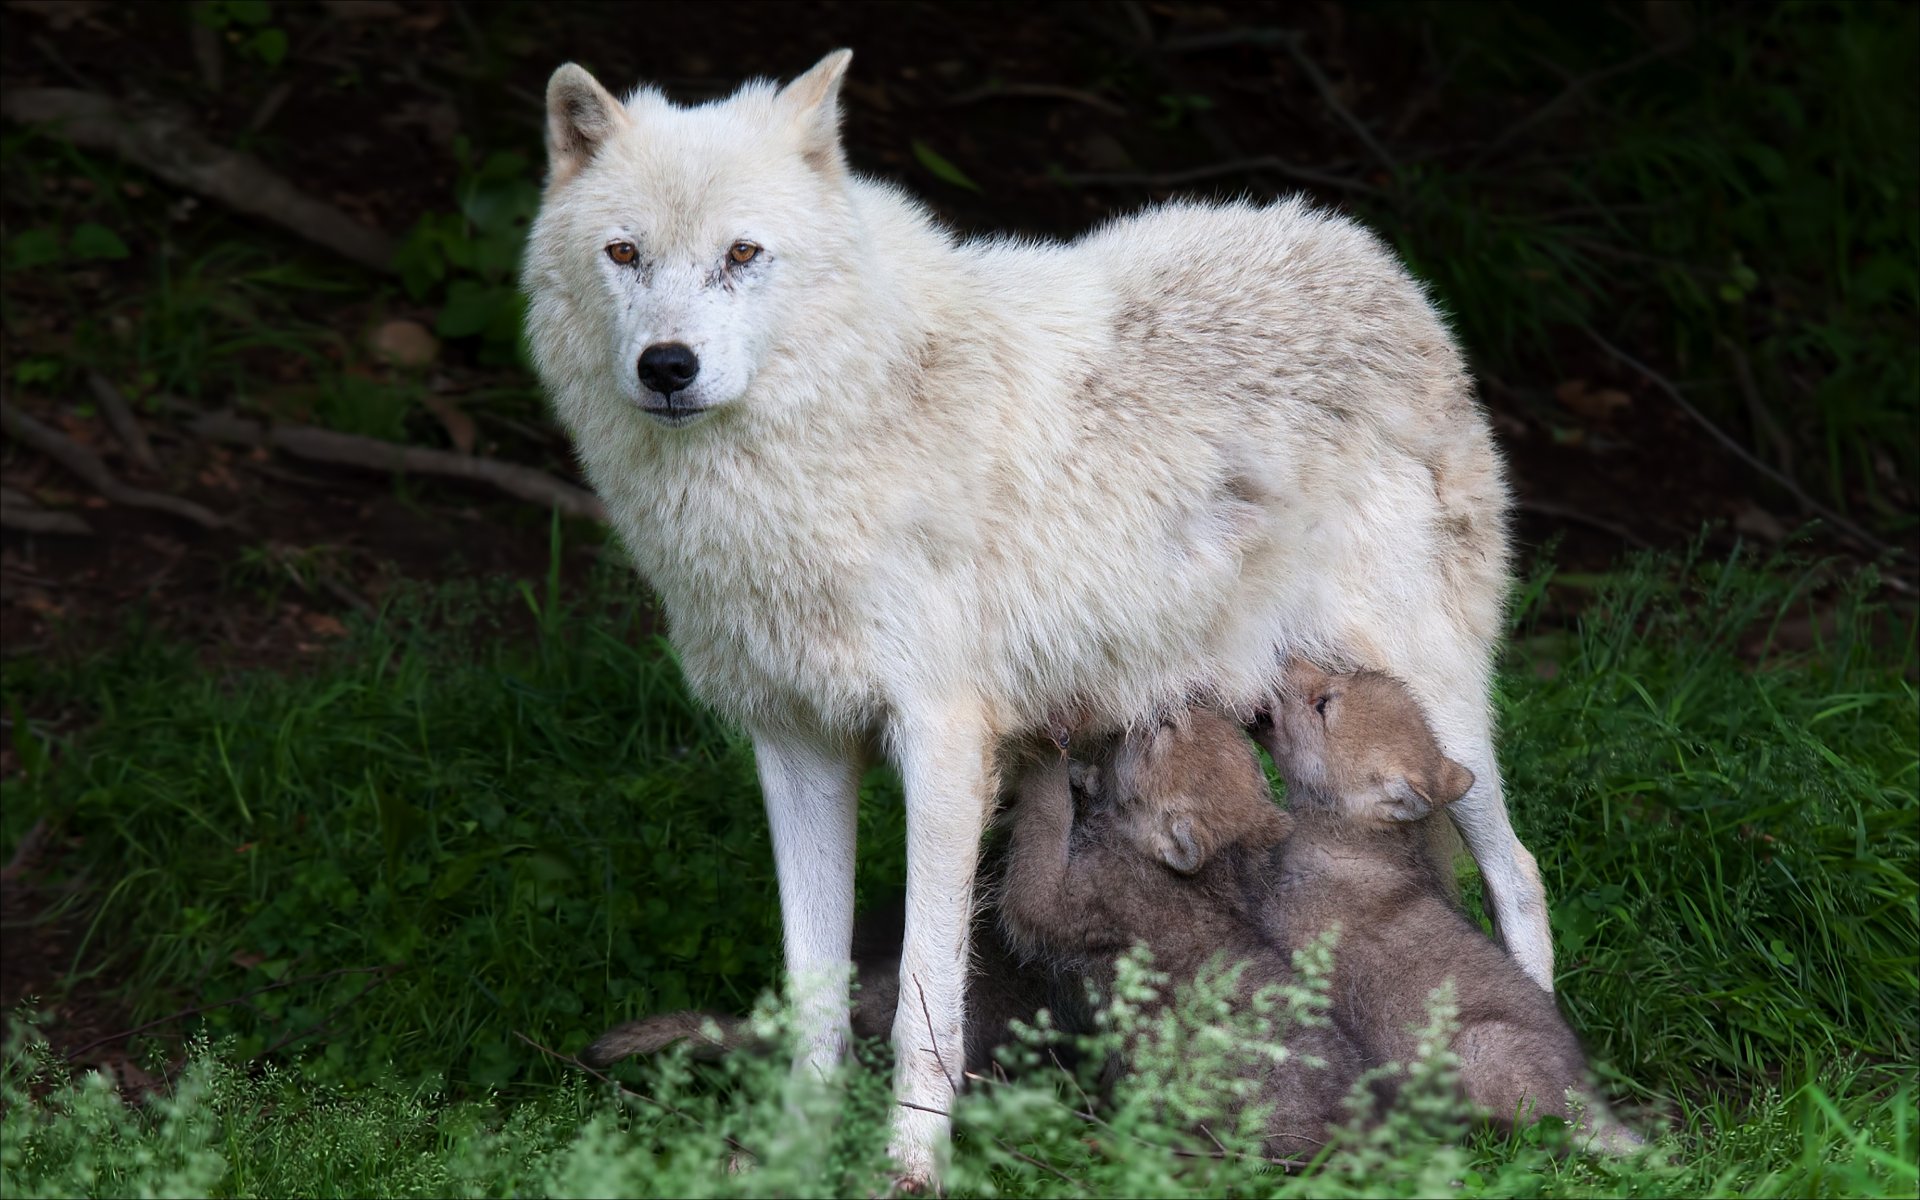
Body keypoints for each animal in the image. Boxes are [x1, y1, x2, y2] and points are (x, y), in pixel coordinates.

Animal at [521, 48, 1547, 1181]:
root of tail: (1376, 263)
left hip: (1439, 714)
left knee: (1520, 873)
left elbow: (926, 997)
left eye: (742, 253)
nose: (667, 365)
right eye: (625, 253)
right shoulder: (795, 744)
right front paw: (797, 1153)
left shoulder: (941, 745)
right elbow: (813, 994)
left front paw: (910, 1169)